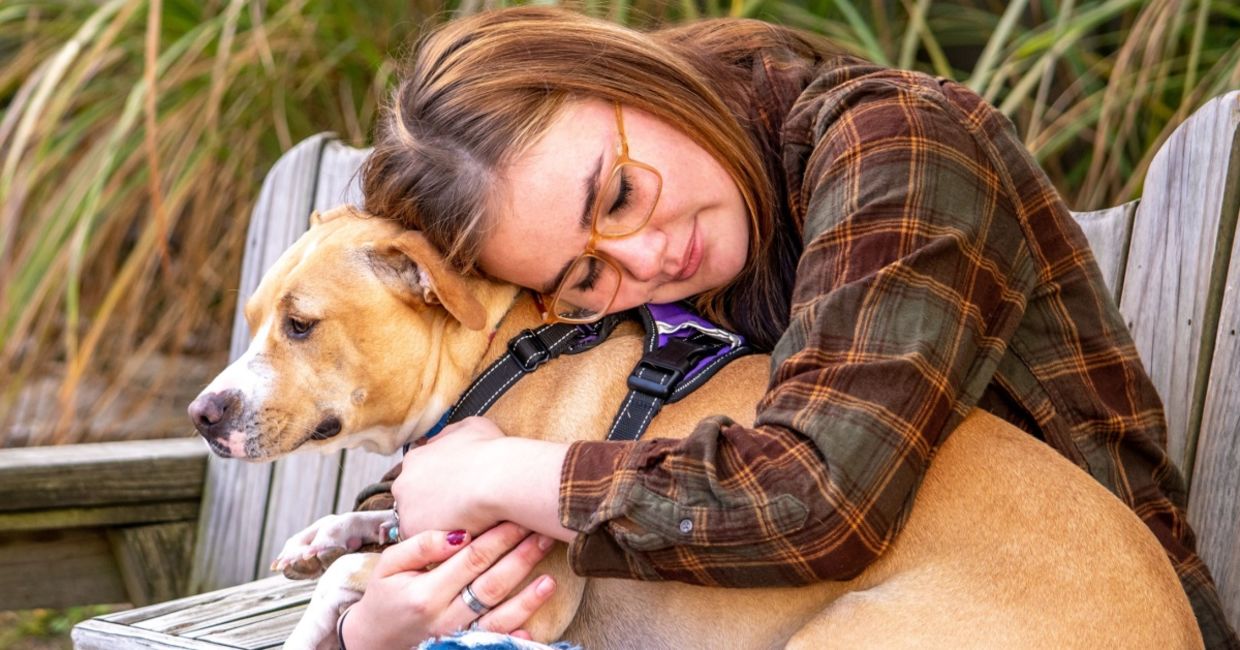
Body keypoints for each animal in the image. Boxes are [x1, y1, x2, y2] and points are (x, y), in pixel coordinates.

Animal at [190, 207, 1200, 650]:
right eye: (253, 318)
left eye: (302, 325)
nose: (202, 415)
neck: (498, 352)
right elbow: (373, 529)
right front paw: (321, 534)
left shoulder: (524, 588)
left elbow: (357, 579)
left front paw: (316, 615)